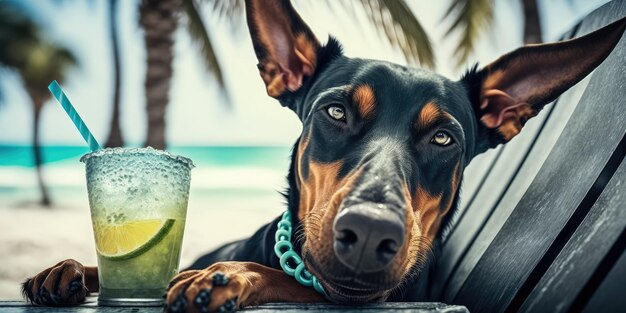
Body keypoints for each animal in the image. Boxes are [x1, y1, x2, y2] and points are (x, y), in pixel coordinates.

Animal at [19, 1, 624, 310]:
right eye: (335, 112)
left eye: (443, 139)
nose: (371, 233)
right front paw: (72, 269)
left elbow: (286, 279)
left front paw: (231, 276)